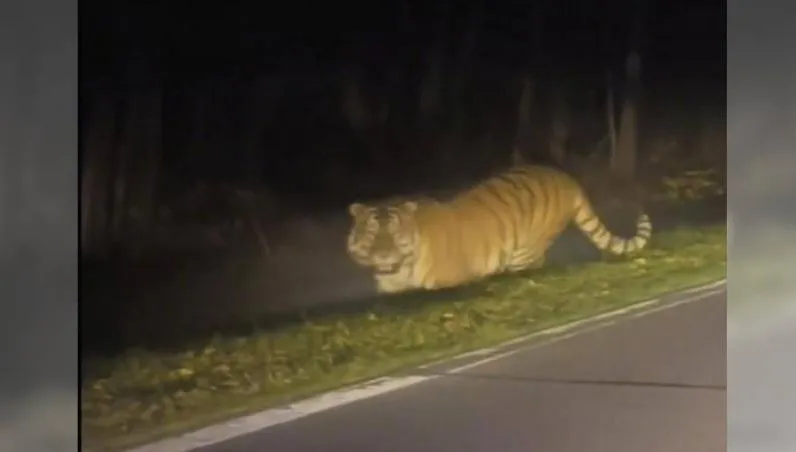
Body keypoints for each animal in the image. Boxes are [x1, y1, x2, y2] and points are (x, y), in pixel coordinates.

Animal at [346, 164, 652, 294]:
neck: (401, 269)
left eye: (395, 235)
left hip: (524, 253)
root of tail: (565, 177)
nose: (383, 256)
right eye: (372, 235)